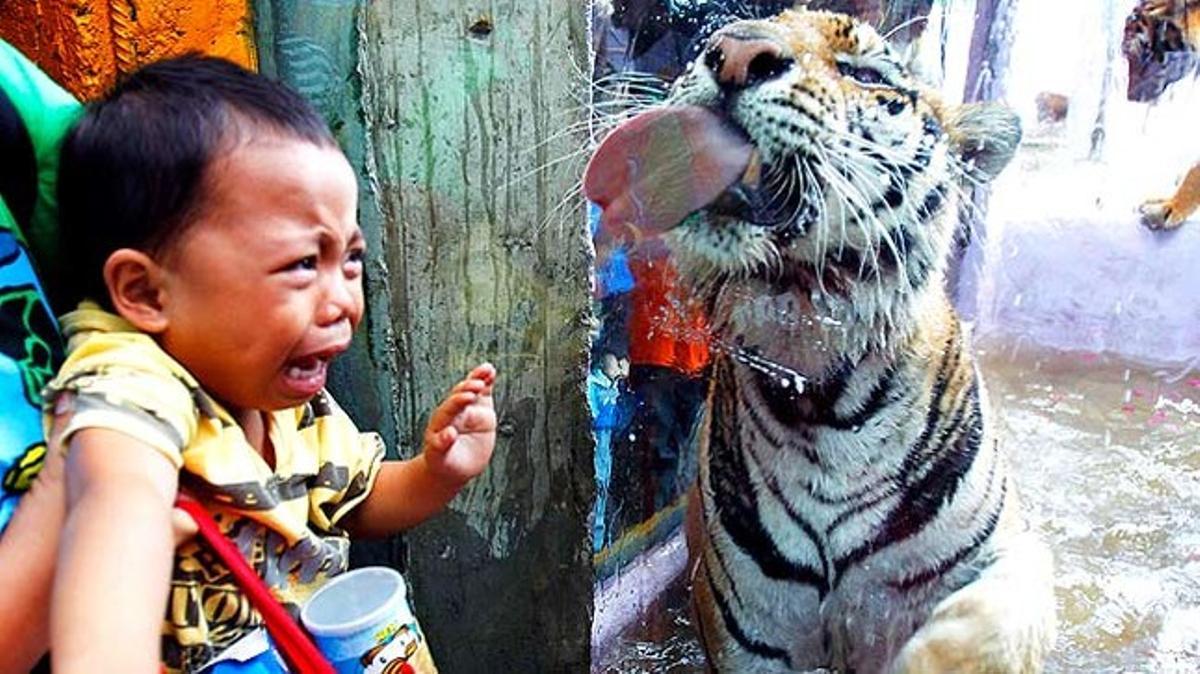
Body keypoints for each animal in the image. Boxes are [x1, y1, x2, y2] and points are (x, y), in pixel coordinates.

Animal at [590, 7, 1057, 673]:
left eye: (865, 73)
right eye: (726, 37)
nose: (732, 54)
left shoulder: (1010, 556)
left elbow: (982, 629)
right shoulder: (749, 632)